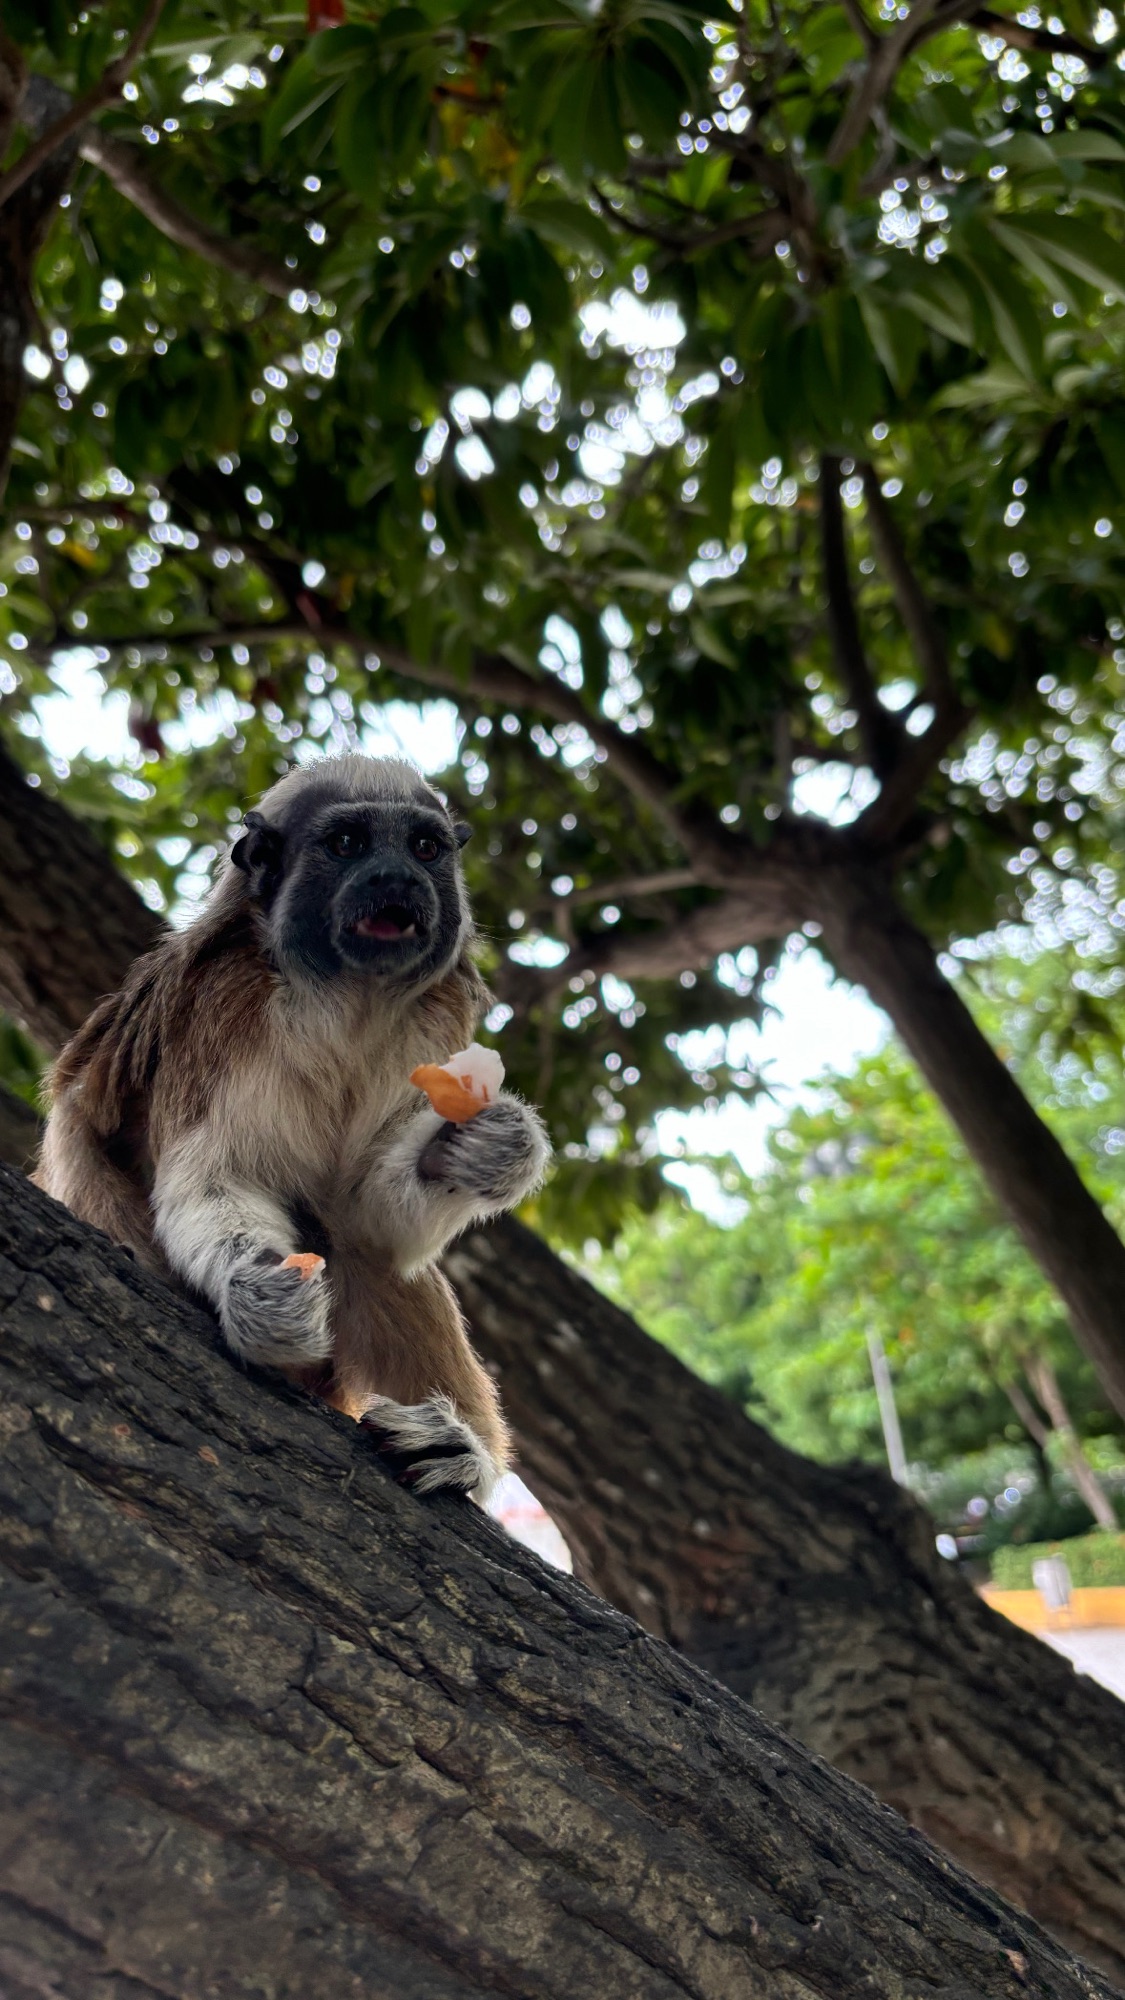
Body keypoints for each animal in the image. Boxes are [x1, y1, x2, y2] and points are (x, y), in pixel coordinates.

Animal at [35, 754, 551, 1503]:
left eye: (424, 849)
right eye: (348, 845)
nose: (396, 878)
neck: (347, 998)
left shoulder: (433, 1021)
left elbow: (368, 1215)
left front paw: (489, 1150)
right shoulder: (223, 1002)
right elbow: (214, 1178)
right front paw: (260, 1297)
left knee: (364, 1253)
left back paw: (460, 1452)